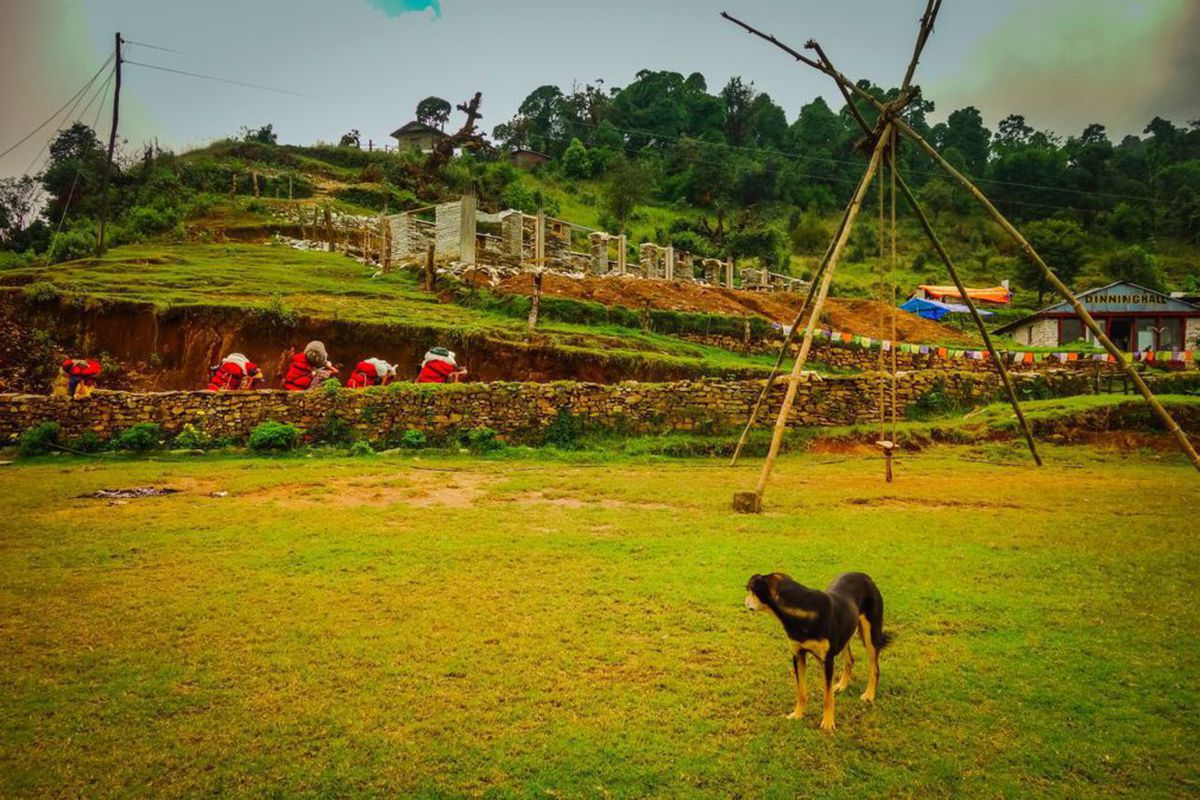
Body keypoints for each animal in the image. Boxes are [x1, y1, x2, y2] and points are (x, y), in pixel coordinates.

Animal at [739, 568, 892, 734]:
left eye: (751, 590)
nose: (744, 601)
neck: (800, 612)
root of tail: (864, 576)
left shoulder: (827, 661)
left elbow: (827, 697)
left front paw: (828, 723)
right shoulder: (798, 655)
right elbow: (801, 691)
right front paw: (798, 714)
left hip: (871, 634)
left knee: (875, 668)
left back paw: (869, 694)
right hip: (846, 634)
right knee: (850, 660)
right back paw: (842, 685)